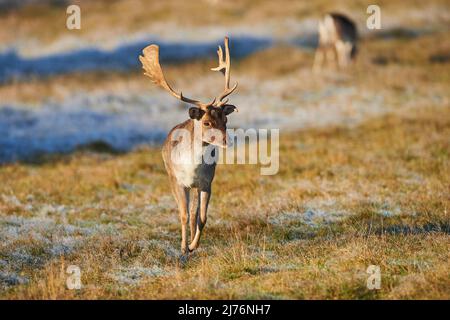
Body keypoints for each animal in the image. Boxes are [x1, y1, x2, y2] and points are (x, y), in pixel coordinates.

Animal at [140, 37, 239, 262]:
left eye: (225, 120)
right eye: (207, 122)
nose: (227, 141)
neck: (192, 168)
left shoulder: (206, 182)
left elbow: (201, 216)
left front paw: (194, 245)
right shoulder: (178, 181)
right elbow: (184, 215)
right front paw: (184, 248)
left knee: (195, 213)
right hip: (170, 176)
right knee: (185, 212)